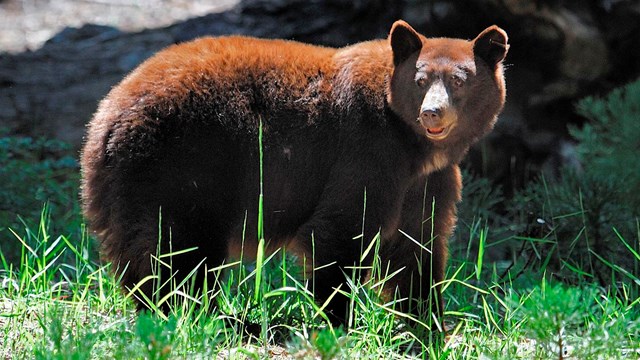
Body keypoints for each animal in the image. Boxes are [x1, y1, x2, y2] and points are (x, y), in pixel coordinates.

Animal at [81, 19, 510, 328]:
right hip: (182, 165)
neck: (412, 145)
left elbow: (417, 246)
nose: (432, 113)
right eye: (420, 81)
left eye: (459, 80)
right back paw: (204, 315)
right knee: (177, 250)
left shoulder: (425, 181)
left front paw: (429, 325)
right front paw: (337, 321)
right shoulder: (367, 152)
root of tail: (104, 119)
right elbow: (342, 231)